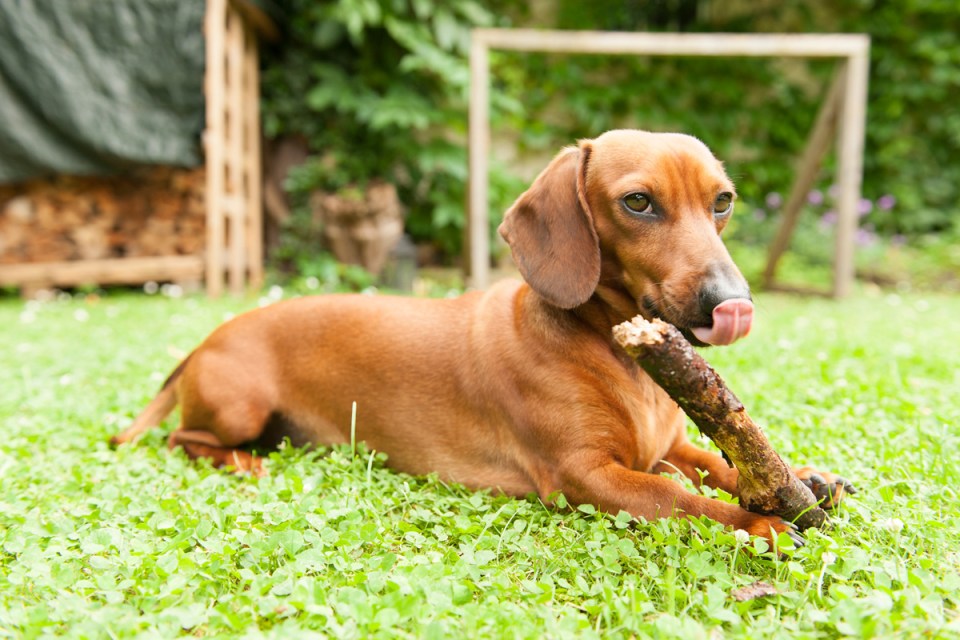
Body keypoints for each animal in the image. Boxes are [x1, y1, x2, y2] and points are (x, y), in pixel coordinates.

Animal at [113, 130, 853, 546]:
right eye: (638, 202)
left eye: (722, 201)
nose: (734, 305)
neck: (612, 352)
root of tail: (207, 339)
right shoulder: (586, 476)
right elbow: (679, 498)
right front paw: (758, 523)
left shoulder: (666, 446)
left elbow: (717, 463)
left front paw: (800, 479)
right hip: (239, 408)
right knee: (184, 440)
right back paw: (245, 464)